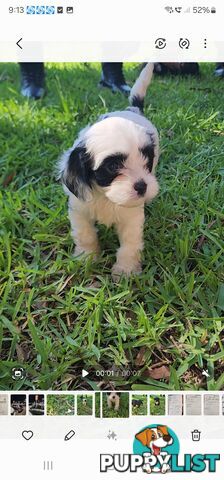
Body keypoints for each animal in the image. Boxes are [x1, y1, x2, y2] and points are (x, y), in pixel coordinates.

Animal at [58, 65, 159, 280]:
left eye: (146, 159)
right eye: (112, 167)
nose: (142, 186)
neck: (106, 197)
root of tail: (132, 109)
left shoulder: (132, 216)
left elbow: (130, 243)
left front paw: (126, 269)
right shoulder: (79, 209)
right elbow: (85, 235)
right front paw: (86, 257)